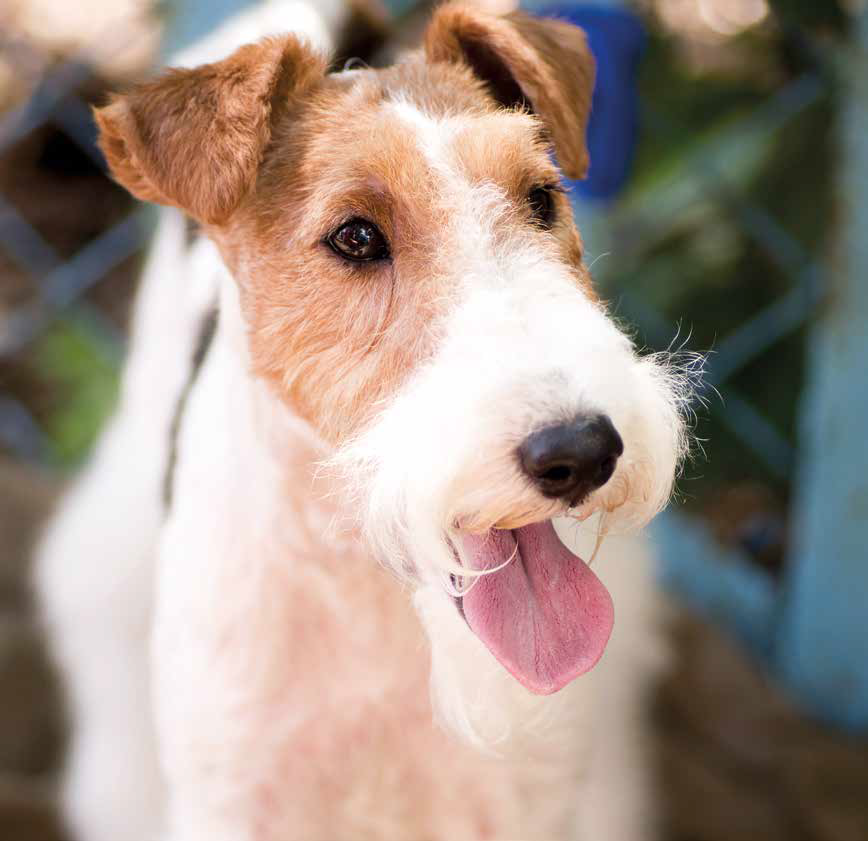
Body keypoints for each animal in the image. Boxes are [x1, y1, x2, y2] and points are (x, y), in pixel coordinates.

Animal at [37, 3, 696, 836]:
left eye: (542, 197)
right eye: (354, 236)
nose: (581, 451)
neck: (365, 580)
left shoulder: (523, 799)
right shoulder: (234, 794)